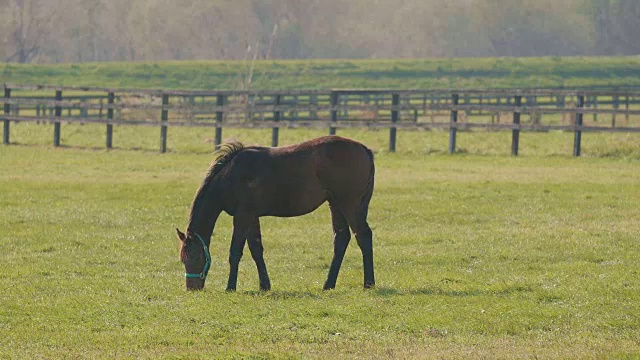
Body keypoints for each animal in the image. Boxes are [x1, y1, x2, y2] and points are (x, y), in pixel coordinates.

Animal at [175, 134, 376, 290]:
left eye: (195, 257)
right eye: (182, 260)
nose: (192, 289)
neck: (230, 175)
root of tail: (364, 149)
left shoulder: (242, 216)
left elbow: (235, 252)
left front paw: (230, 287)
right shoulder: (252, 217)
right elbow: (256, 249)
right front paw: (264, 285)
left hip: (349, 204)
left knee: (363, 236)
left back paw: (368, 283)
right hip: (335, 204)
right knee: (341, 239)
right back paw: (328, 284)